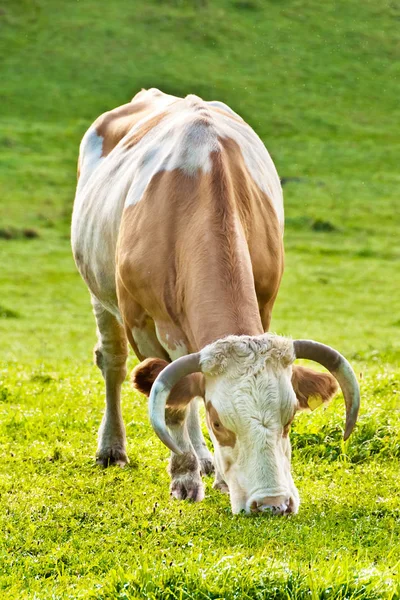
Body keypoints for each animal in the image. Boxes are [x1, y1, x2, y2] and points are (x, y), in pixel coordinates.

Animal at [71, 88, 360, 516]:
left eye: (290, 418)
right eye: (220, 421)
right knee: (114, 363)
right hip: (100, 296)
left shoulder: (264, 304)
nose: (271, 503)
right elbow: (171, 404)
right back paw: (114, 449)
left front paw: (216, 475)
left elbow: (186, 396)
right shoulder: (143, 326)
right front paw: (184, 478)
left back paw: (207, 462)